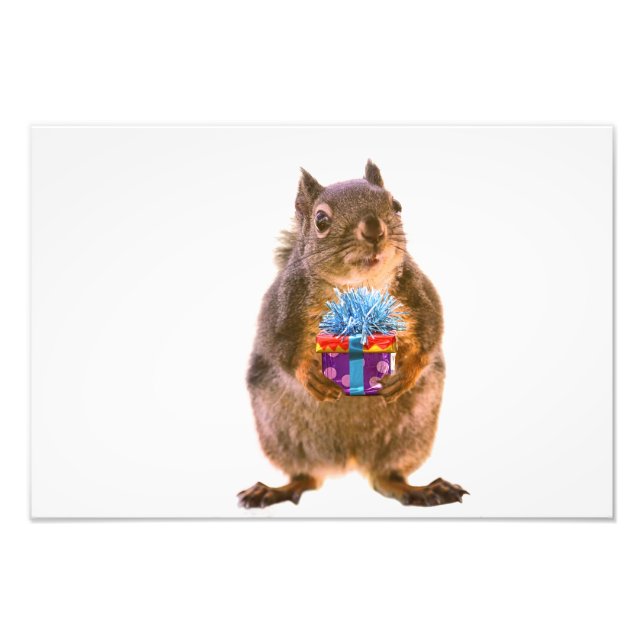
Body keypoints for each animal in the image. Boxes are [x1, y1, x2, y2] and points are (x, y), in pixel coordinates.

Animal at [238, 160, 468, 508]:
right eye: (321, 220)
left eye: (396, 206)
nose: (374, 230)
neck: (358, 287)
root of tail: (350, 459)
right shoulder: (280, 309)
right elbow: (280, 348)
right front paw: (310, 376)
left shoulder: (420, 295)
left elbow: (431, 333)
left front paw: (405, 374)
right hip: (280, 435)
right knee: (306, 475)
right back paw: (279, 489)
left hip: (413, 432)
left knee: (386, 477)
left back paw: (418, 489)